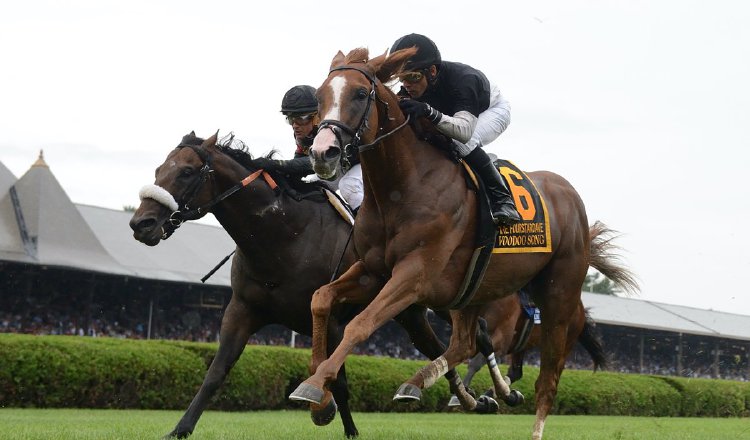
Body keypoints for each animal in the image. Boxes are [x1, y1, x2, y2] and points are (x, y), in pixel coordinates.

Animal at [288, 48, 616, 440]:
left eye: (359, 94)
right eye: (321, 96)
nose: (322, 152)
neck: (403, 186)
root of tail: (570, 196)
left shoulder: (414, 275)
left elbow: (360, 324)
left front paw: (315, 385)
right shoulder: (372, 270)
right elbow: (321, 299)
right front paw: (321, 399)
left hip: (559, 298)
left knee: (547, 378)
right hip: (473, 289)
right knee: (464, 343)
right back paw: (421, 385)